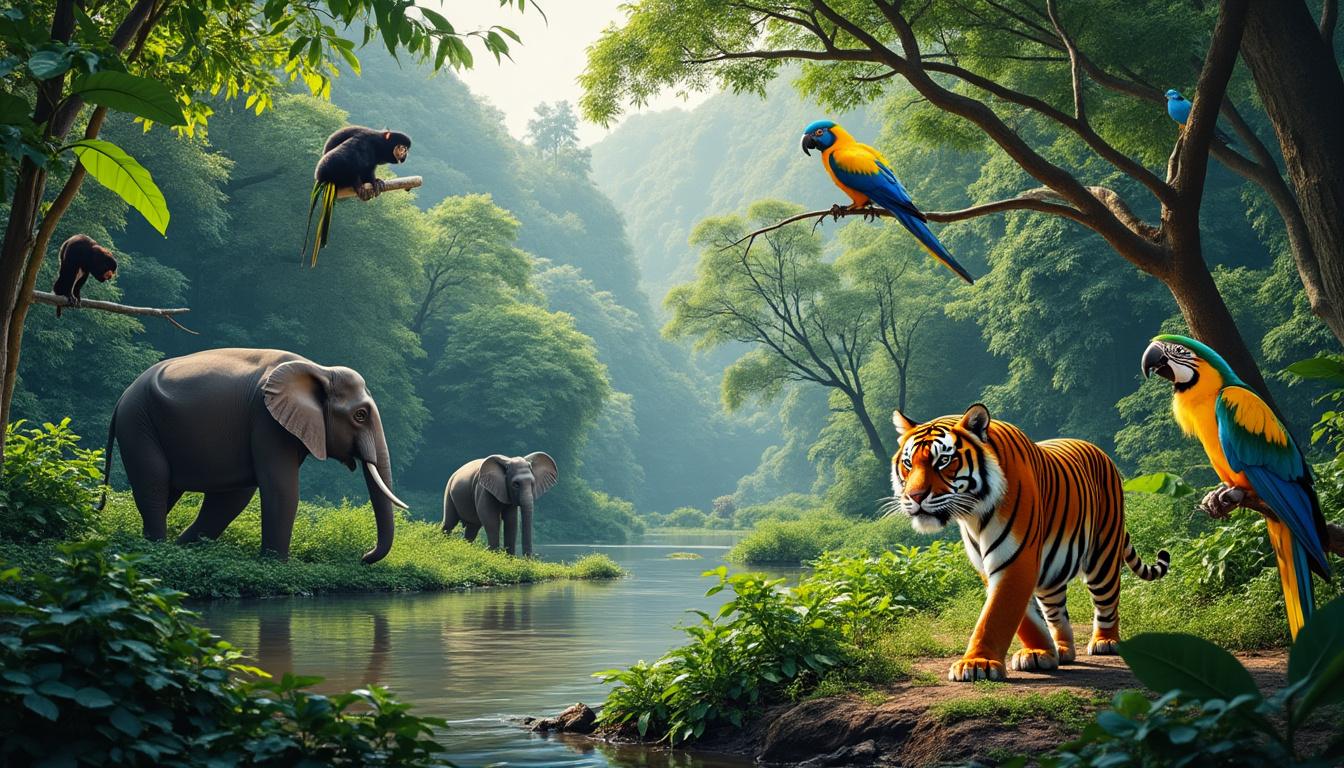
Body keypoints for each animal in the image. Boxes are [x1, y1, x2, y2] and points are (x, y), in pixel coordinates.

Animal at [888, 403, 1170, 682]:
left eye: (943, 461)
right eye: (908, 463)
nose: (915, 496)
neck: (973, 515)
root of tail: (1100, 451)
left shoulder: (1015, 558)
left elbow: (996, 614)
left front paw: (976, 663)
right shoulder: (992, 566)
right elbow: (1027, 619)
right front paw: (1039, 653)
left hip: (1103, 556)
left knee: (1107, 601)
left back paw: (1105, 642)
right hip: (1051, 573)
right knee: (1056, 611)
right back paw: (1063, 649)